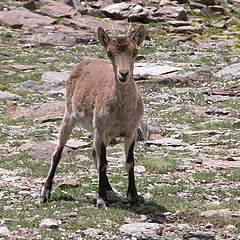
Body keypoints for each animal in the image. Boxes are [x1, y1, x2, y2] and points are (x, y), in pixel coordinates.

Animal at [39, 24, 146, 208]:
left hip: (105, 134)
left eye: (135, 50)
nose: (123, 74)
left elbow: (129, 161)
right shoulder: (100, 129)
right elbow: (104, 162)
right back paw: (45, 192)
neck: (122, 111)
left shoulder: (131, 131)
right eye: (109, 52)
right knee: (58, 153)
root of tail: (83, 63)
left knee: (93, 153)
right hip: (70, 115)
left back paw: (110, 191)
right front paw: (101, 199)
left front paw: (133, 196)